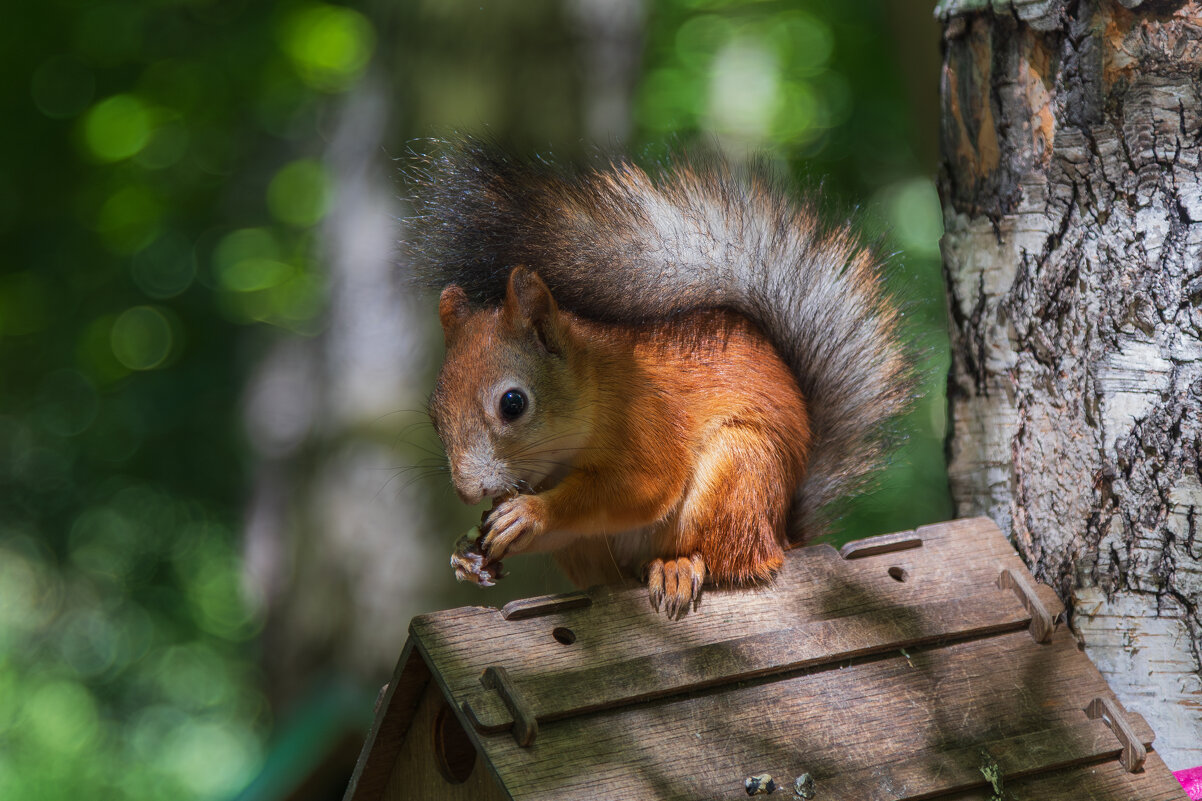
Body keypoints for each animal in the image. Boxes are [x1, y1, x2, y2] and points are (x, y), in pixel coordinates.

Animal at [413, 141, 908, 615]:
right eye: (434, 416)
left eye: (513, 404)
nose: (468, 491)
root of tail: (783, 531)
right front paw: (467, 553)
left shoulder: (649, 416)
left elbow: (645, 484)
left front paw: (532, 512)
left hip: (738, 472)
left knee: (734, 561)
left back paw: (679, 565)